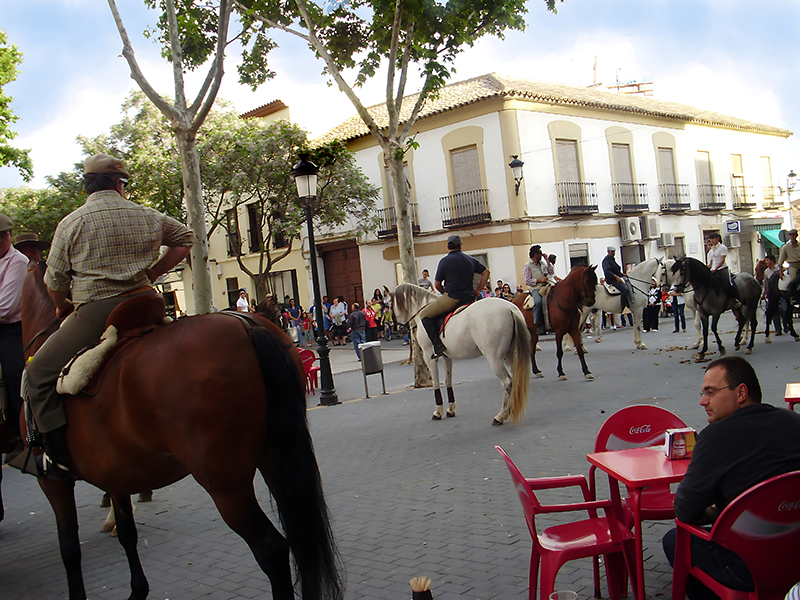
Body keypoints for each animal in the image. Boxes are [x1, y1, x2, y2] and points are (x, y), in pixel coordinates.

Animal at [16, 268, 340, 600]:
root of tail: (246, 325)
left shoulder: (53, 483)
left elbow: (69, 549)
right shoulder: (117, 475)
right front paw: (137, 589)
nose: (287, 321)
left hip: (225, 483)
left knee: (271, 549)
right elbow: (128, 534)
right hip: (276, 459)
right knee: (302, 533)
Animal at [394, 284, 532, 424]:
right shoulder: (446, 357)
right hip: (510, 354)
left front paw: (438, 412)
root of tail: (510, 308)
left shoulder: (429, 357)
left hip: (495, 358)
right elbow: (448, 381)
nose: (400, 329)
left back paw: (500, 415)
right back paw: (510, 409)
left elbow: (436, 383)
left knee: (507, 383)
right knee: (515, 379)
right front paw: (450, 410)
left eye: (392, 304)